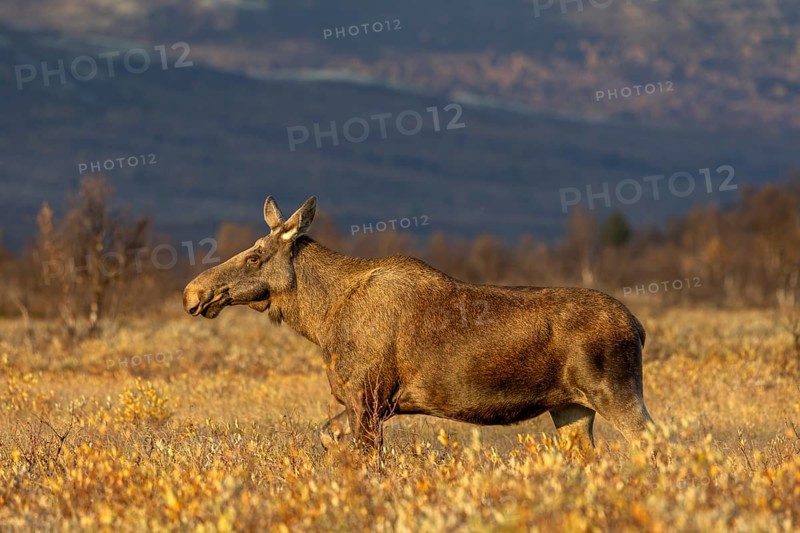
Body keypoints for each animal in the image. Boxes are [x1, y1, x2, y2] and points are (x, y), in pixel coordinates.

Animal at [183, 196, 655, 455]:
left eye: (254, 256)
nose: (193, 292)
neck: (321, 319)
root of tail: (638, 327)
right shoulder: (364, 402)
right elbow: (327, 436)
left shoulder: (369, 398)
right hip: (571, 406)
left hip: (615, 391)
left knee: (653, 441)